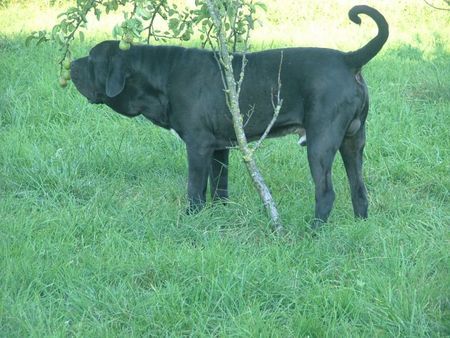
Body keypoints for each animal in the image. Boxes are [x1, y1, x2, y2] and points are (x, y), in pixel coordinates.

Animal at [70, 5, 386, 227]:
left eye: (91, 59)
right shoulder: (219, 148)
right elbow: (219, 186)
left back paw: (312, 232)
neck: (161, 74)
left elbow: (195, 188)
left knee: (326, 192)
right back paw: (360, 225)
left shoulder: (198, 146)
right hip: (353, 143)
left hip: (321, 143)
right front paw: (218, 216)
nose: (72, 64)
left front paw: (191, 219)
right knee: (359, 189)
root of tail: (348, 59)